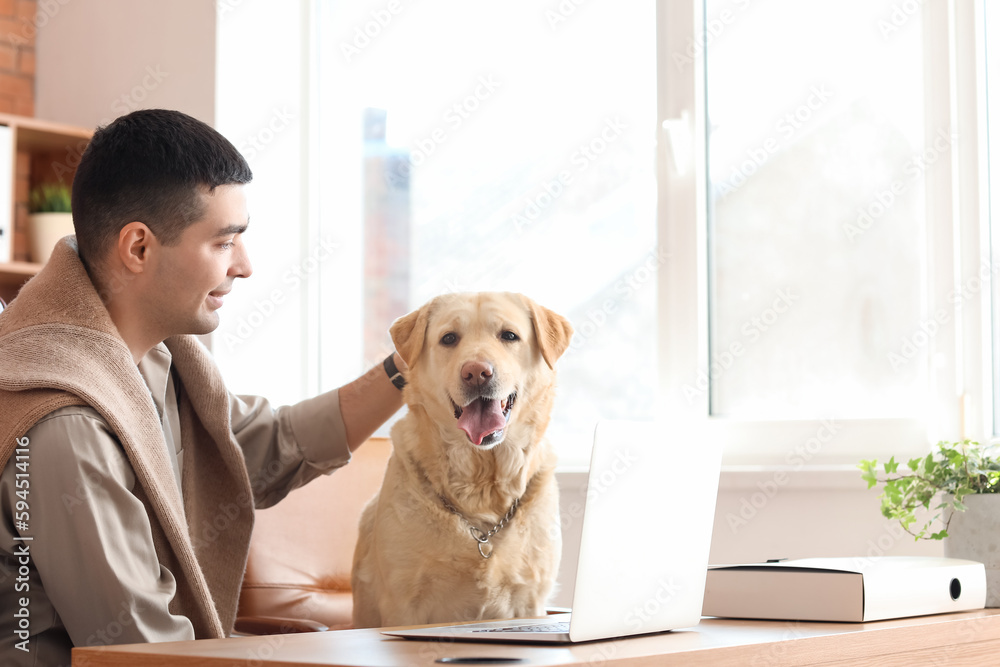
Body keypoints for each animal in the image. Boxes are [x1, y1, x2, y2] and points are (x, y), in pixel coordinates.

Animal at [350, 294, 572, 632]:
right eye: (449, 338)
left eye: (509, 335)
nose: (477, 372)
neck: (482, 483)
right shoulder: (403, 606)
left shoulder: (531, 601)